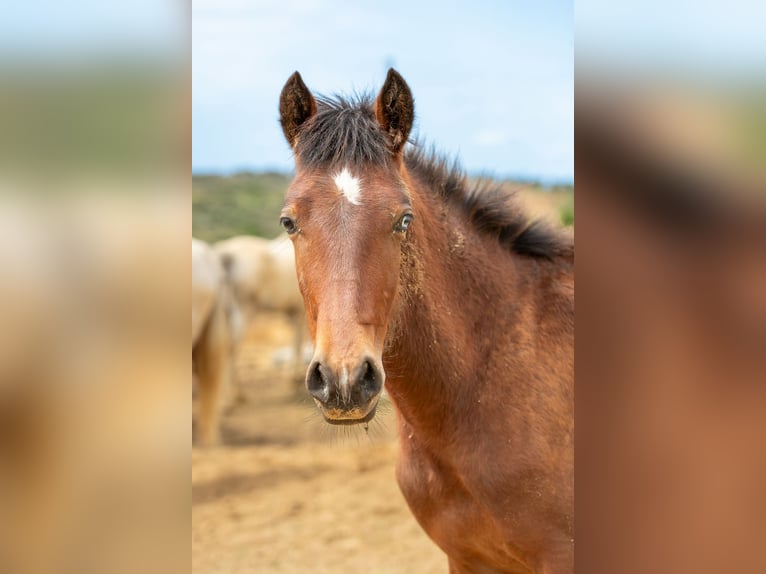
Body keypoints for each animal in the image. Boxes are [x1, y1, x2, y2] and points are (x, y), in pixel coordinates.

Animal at [213, 234, 308, 383]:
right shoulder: (300, 311)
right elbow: (300, 341)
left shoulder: (293, 312)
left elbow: (297, 340)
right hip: (243, 311)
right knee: (231, 342)